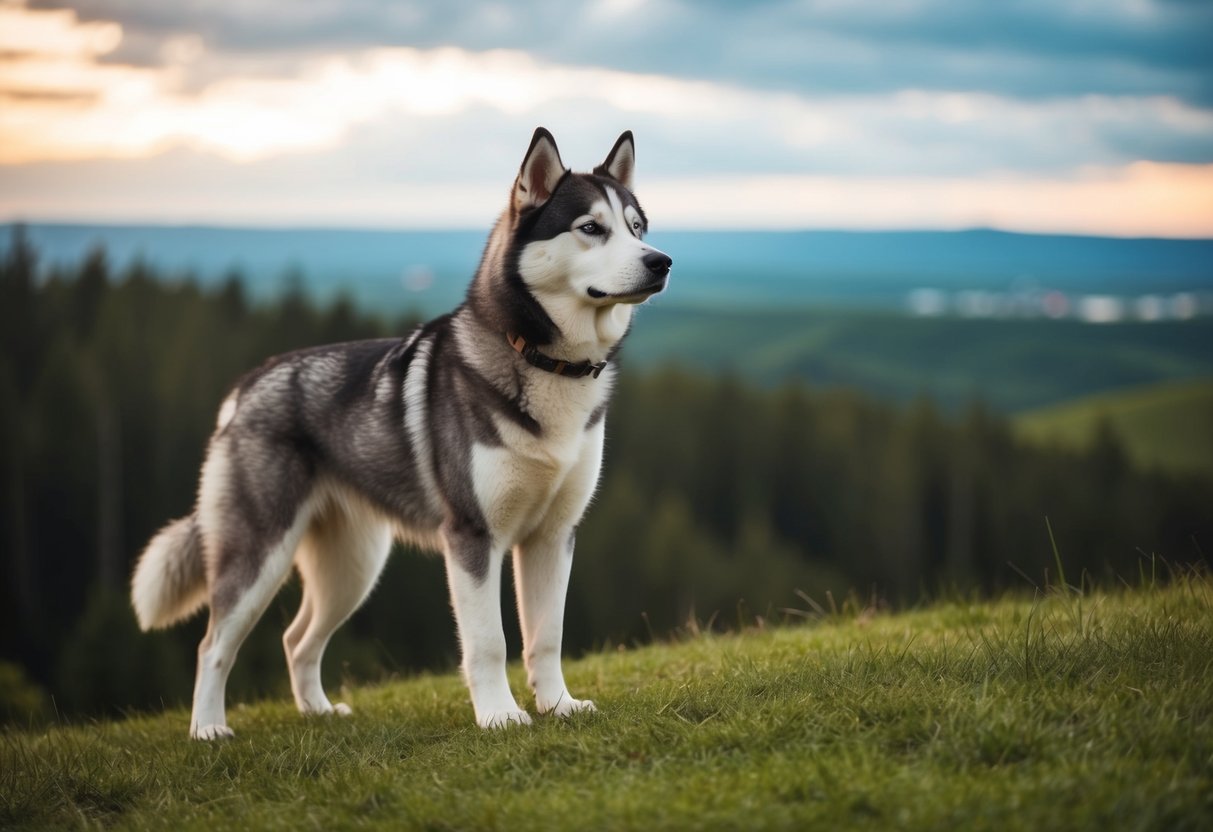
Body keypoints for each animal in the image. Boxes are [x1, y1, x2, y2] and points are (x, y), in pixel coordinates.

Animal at [132, 127, 674, 742]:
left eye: (637, 227)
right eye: (590, 228)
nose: (662, 261)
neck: (543, 362)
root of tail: (247, 384)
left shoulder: (553, 536)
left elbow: (547, 636)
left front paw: (558, 705)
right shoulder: (472, 537)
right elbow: (489, 642)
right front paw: (499, 716)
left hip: (353, 568)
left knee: (296, 639)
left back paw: (318, 712)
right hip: (259, 555)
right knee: (213, 644)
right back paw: (207, 730)